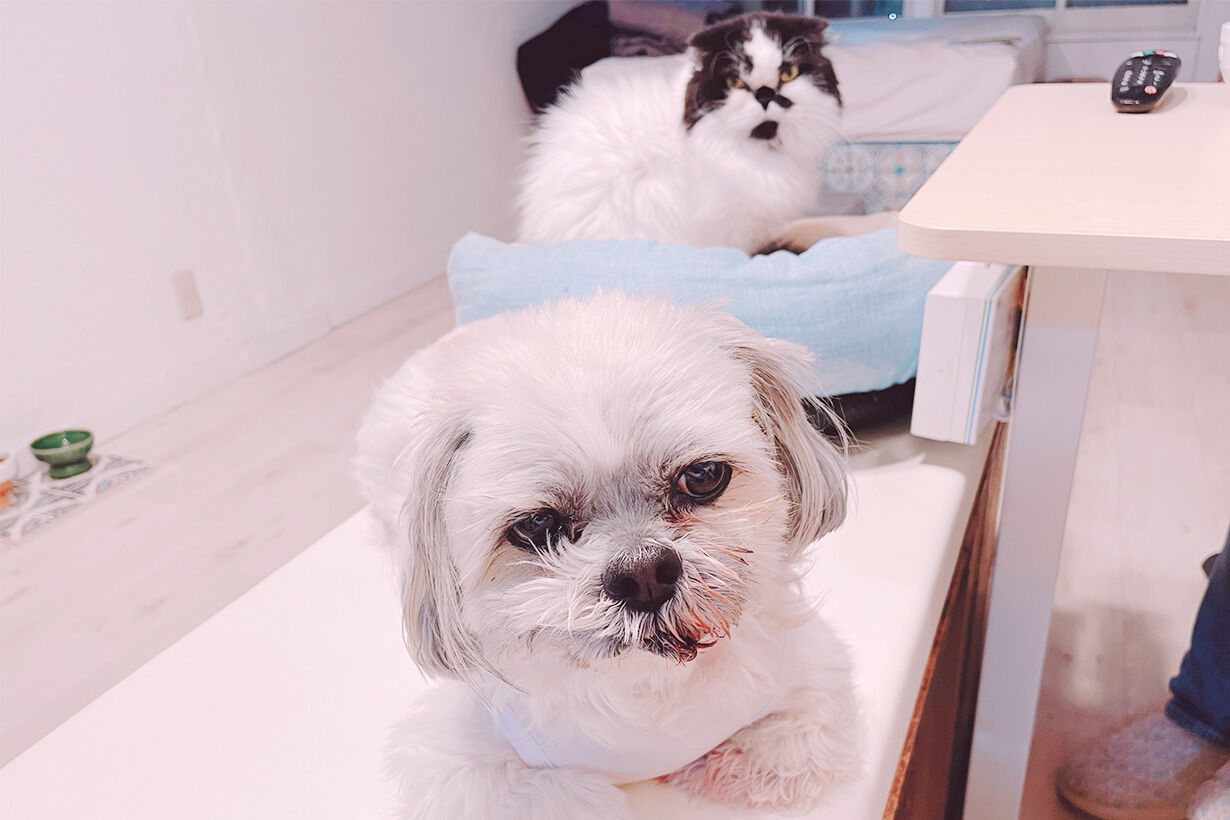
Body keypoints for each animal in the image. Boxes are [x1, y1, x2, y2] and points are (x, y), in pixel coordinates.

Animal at [355, 293, 861, 819]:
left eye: (703, 476)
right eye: (536, 527)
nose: (644, 573)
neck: (647, 681)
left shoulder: (805, 678)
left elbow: (792, 744)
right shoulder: (457, 766)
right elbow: (562, 797)